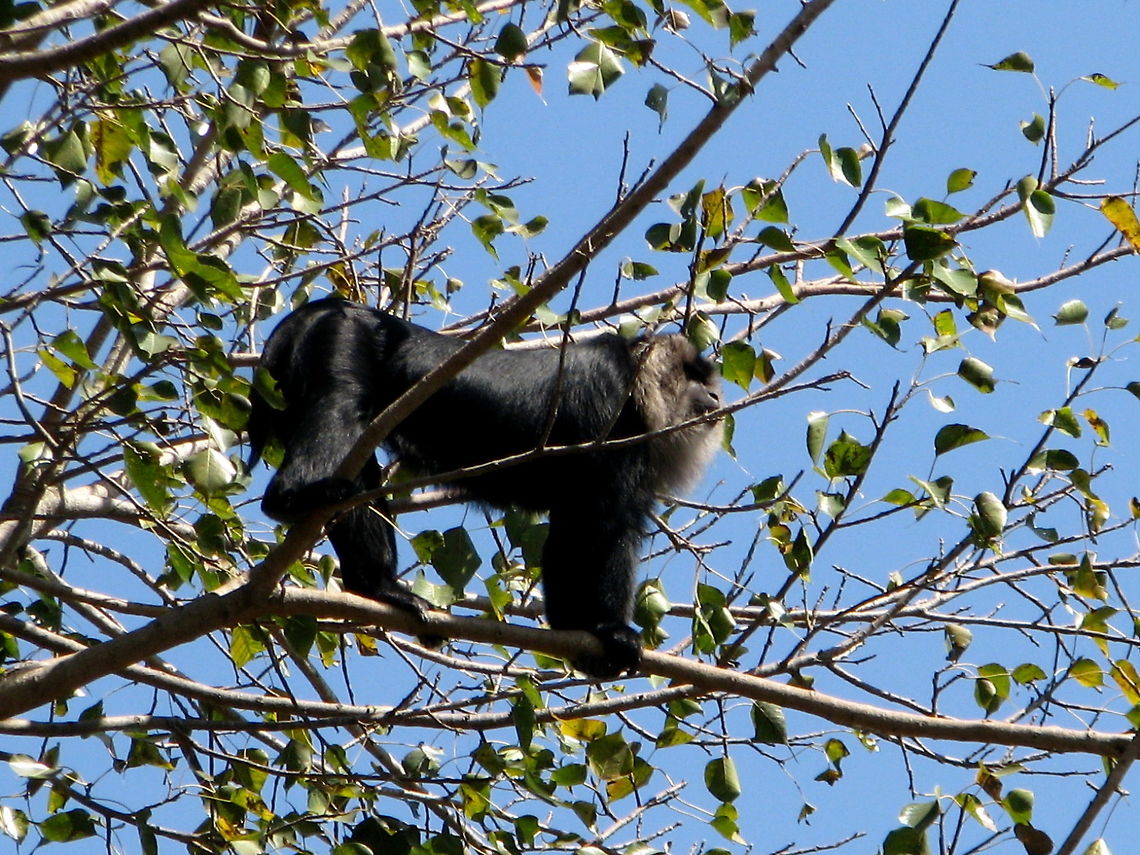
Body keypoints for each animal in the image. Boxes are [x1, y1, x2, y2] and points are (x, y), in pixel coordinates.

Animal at [248, 297, 722, 677]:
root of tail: (323, 307)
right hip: (341, 335)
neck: (639, 387)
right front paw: (608, 631)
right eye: (692, 376)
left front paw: (579, 635)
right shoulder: (611, 408)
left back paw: (376, 586)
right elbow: (597, 526)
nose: (715, 397)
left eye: (706, 379)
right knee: (344, 405)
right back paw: (291, 498)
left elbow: (574, 531)